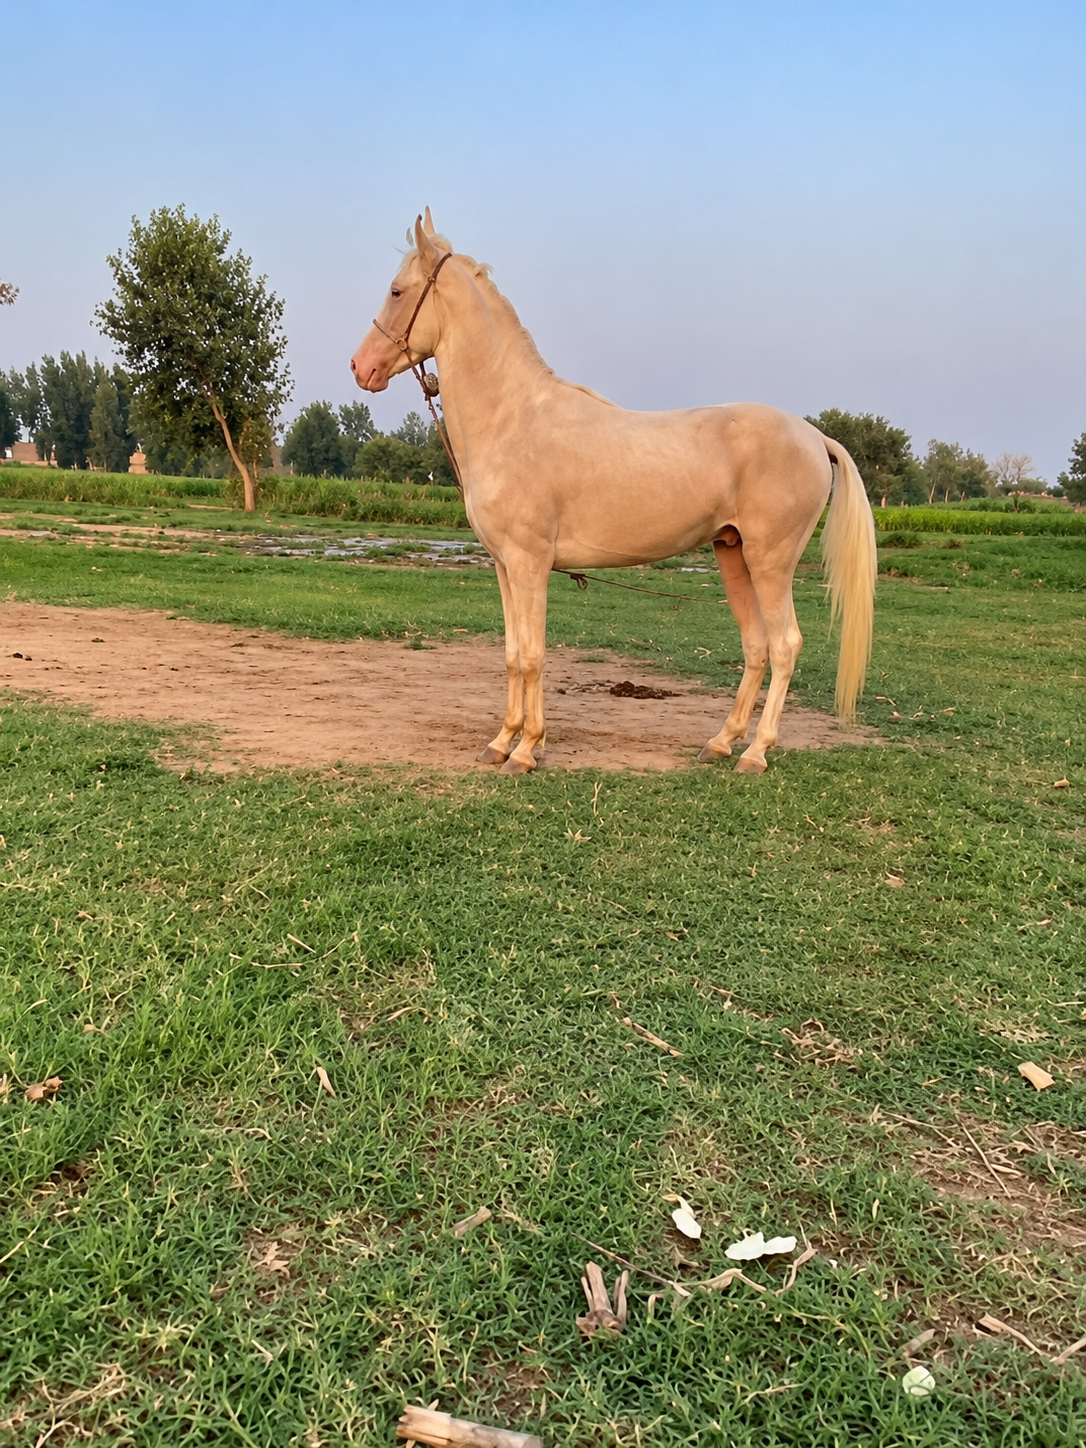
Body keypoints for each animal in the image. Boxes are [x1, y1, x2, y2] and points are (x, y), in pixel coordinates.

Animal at [351, 211, 876, 776]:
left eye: (397, 291)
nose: (360, 367)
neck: (513, 417)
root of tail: (813, 436)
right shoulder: (505, 567)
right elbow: (513, 656)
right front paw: (501, 741)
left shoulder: (531, 564)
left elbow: (533, 656)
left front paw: (526, 750)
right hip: (733, 554)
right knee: (756, 646)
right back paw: (721, 742)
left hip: (770, 562)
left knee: (783, 646)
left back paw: (755, 753)